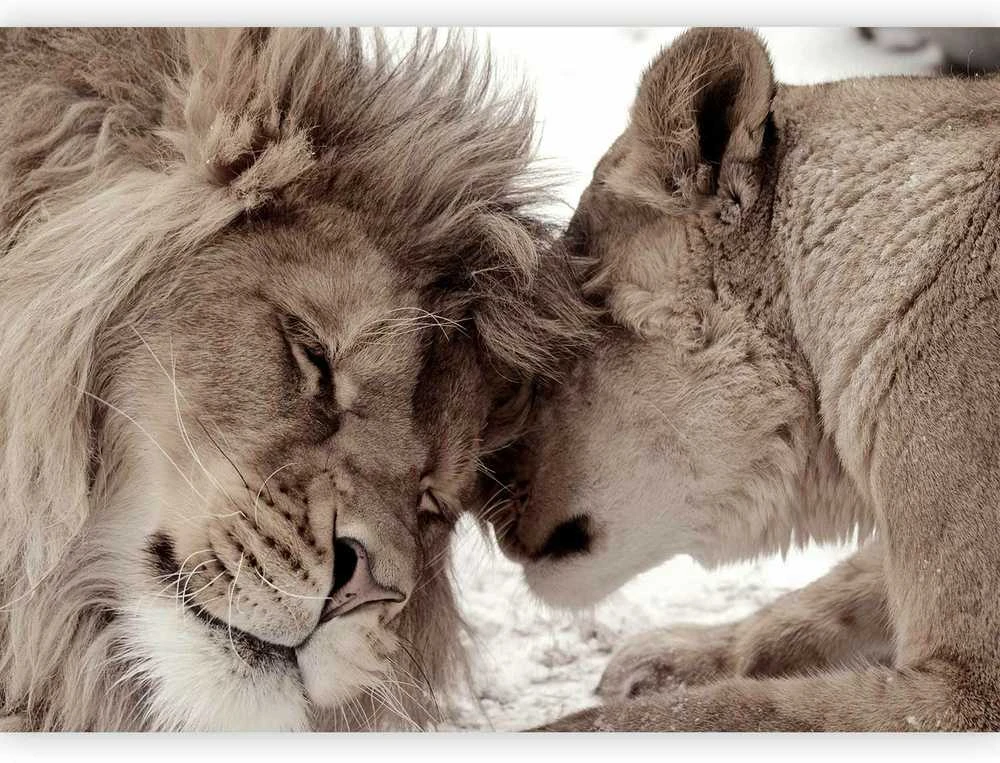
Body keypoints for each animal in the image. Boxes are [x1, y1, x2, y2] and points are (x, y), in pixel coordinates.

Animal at [489, 27, 1000, 731]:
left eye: (550, 350)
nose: (480, 498)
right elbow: (825, 599)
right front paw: (667, 658)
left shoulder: (968, 692)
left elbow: (720, 712)